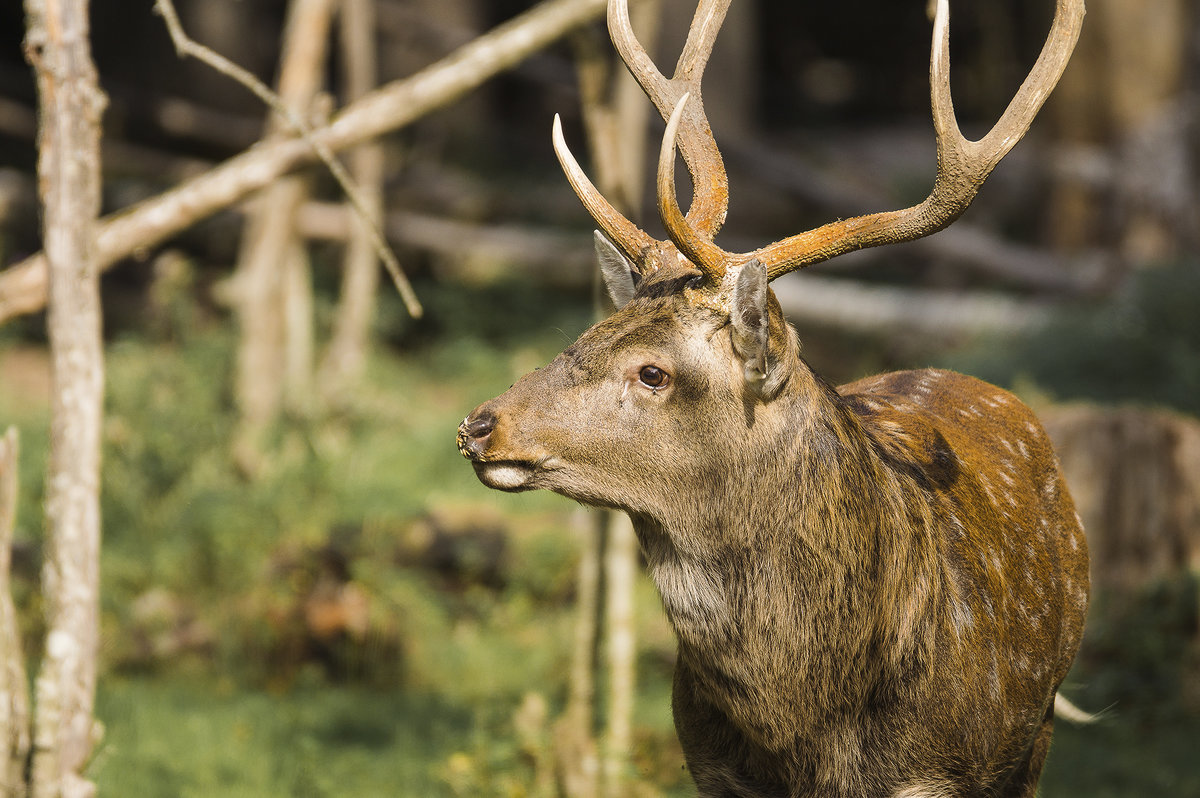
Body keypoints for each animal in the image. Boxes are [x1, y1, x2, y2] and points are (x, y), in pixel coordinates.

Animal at [456, 1, 1089, 796]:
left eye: (653, 372)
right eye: (591, 329)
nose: (479, 426)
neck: (810, 728)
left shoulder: (943, 772)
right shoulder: (711, 768)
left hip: (1036, 730)